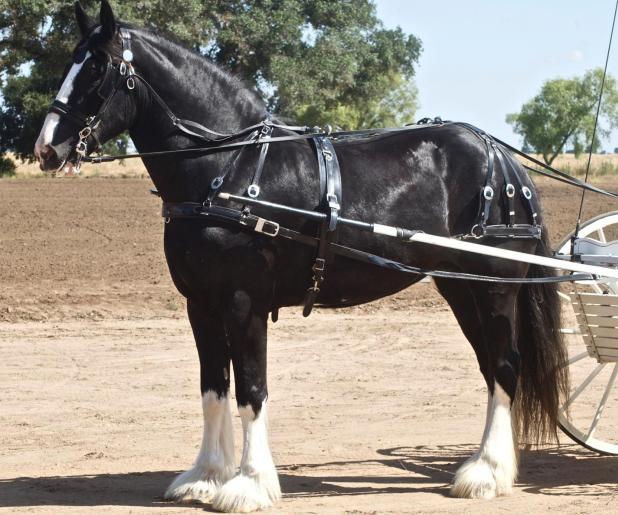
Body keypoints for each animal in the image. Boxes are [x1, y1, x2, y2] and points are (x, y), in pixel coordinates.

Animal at [34, 1, 568, 511]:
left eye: (96, 69)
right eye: (71, 63)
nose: (45, 149)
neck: (229, 167)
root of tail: (501, 157)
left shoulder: (243, 302)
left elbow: (251, 391)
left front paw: (248, 485)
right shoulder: (200, 305)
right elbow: (213, 389)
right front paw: (206, 476)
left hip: (494, 288)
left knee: (505, 365)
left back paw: (488, 473)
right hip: (459, 286)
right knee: (491, 366)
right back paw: (483, 467)